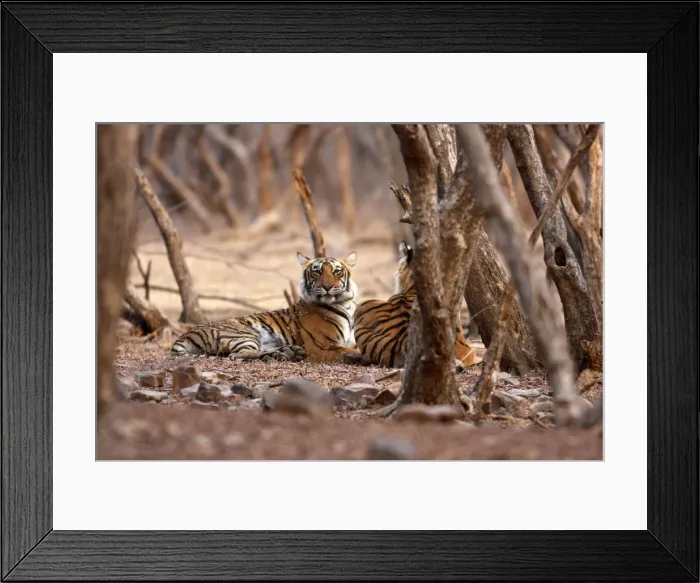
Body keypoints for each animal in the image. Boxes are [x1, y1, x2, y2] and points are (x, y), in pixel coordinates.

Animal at [171, 252, 361, 363]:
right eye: (317, 271)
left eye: (337, 271)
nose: (327, 286)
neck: (346, 304)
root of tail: (187, 333)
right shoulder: (322, 346)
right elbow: (353, 351)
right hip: (243, 334)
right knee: (238, 355)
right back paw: (283, 355)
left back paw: (288, 353)